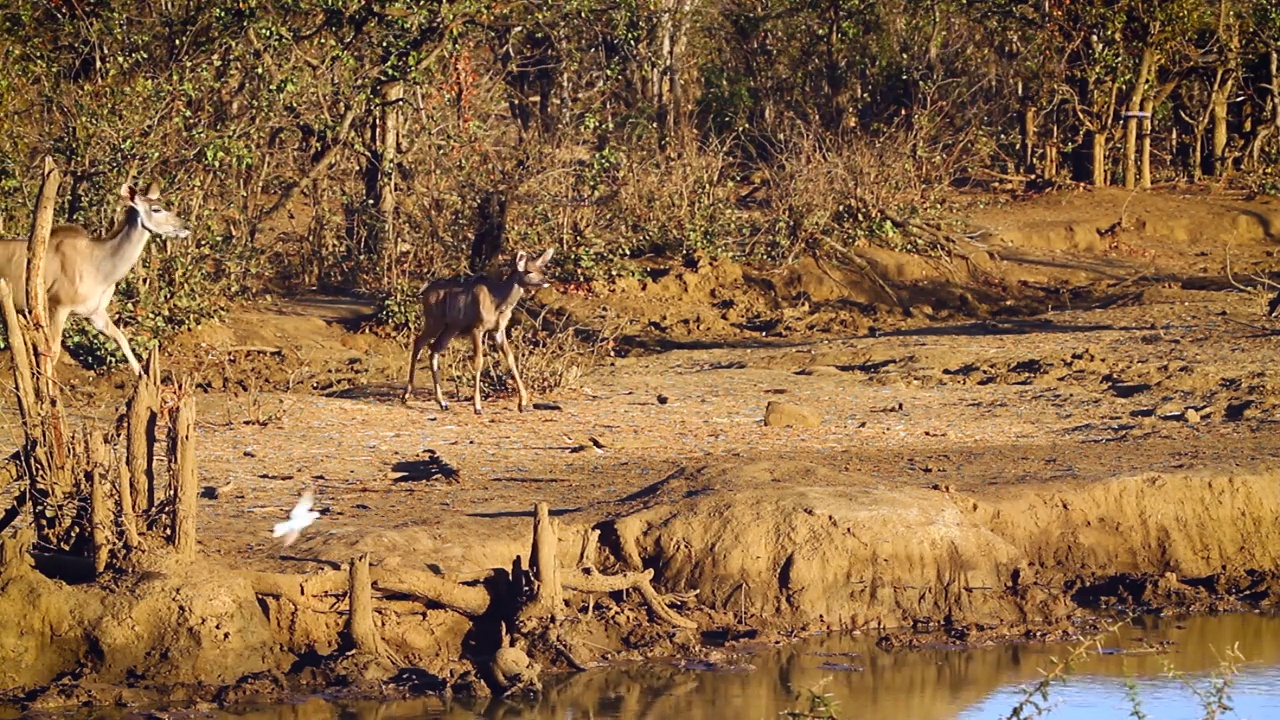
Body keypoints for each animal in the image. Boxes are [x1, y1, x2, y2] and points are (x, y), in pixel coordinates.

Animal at [0, 179, 188, 371]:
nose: (185, 226)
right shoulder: (57, 306)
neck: (100, 268)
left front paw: (141, 374)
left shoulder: (95, 313)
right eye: (157, 209)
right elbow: (53, 351)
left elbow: (122, 339)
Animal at [404, 245, 555, 412]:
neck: (497, 302)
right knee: (419, 342)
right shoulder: (477, 328)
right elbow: (479, 360)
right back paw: (406, 396)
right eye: (528, 271)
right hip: (434, 321)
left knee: (434, 349)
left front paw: (522, 403)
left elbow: (510, 358)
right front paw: (477, 406)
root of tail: (424, 292)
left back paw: (443, 403)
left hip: (451, 327)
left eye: (540, 269)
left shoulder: (498, 331)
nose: (546, 281)